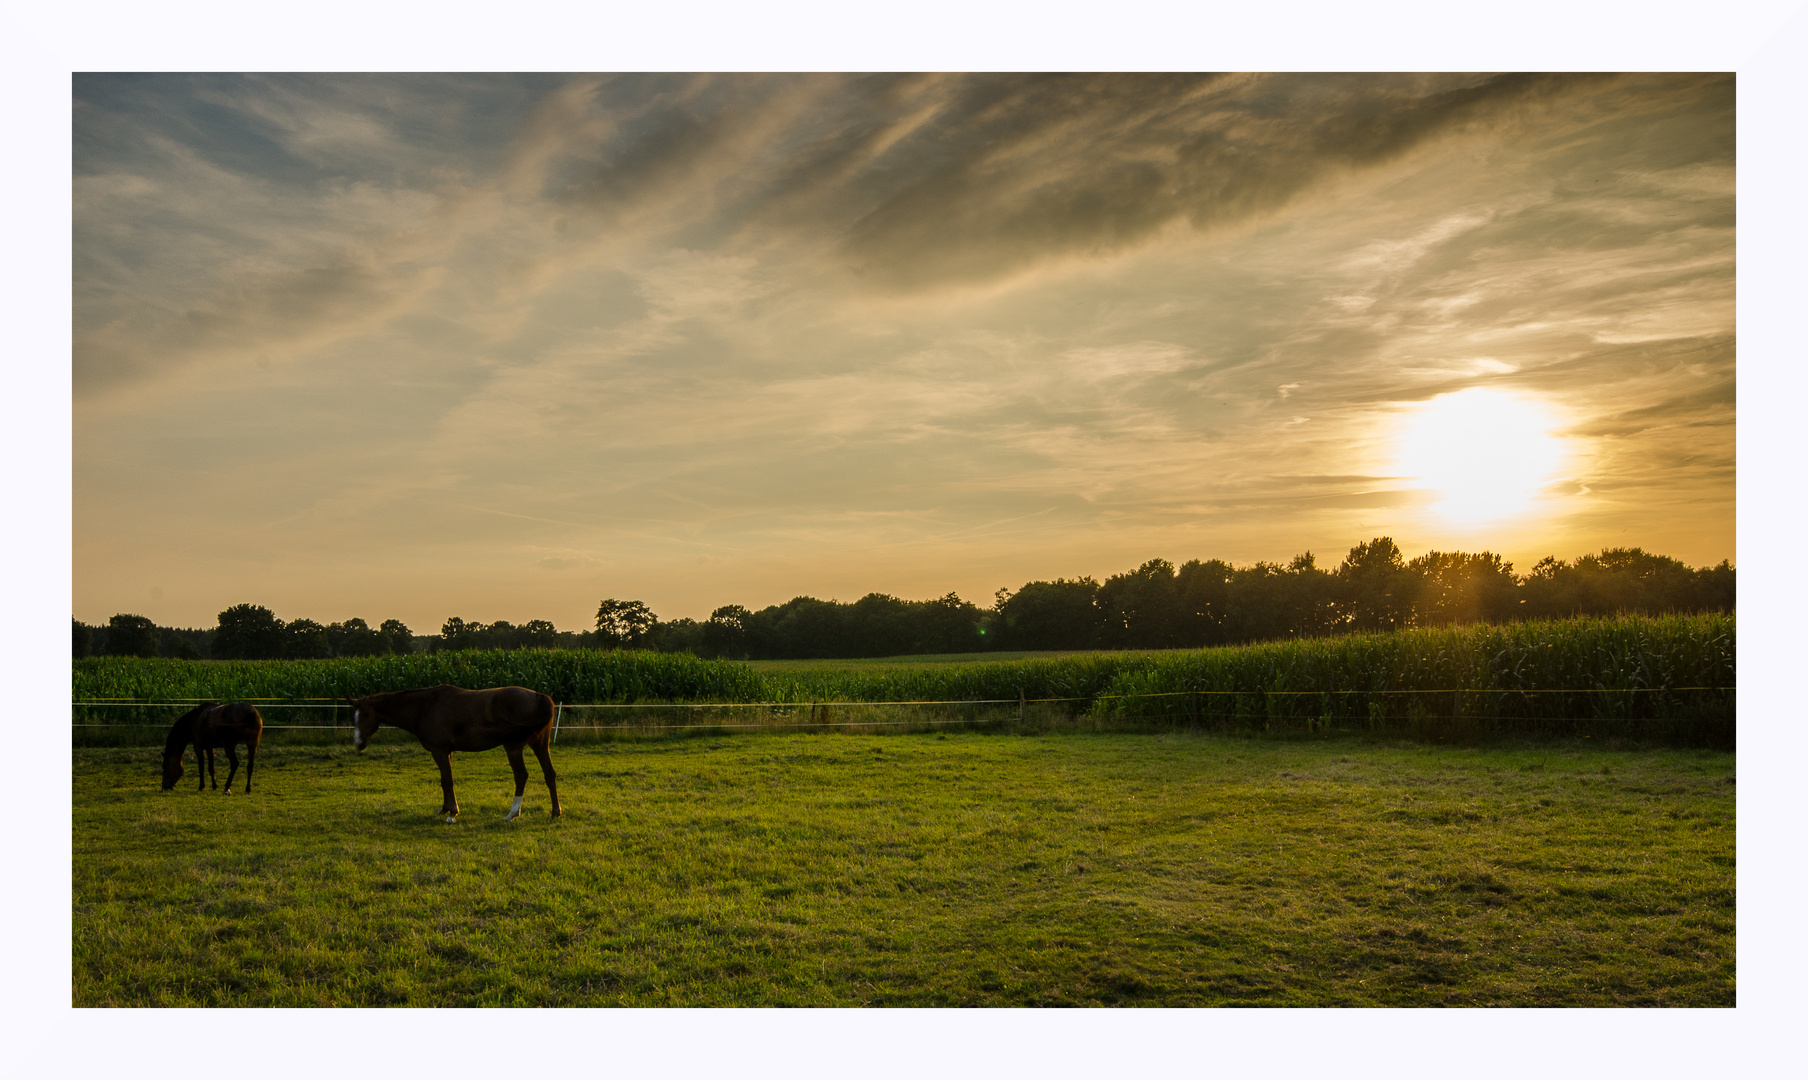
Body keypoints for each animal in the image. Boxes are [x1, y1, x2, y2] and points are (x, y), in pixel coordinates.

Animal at [343, 687, 556, 821]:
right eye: (353, 716)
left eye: (366, 714)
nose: (358, 743)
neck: (426, 706)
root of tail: (540, 697)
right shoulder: (447, 752)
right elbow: (444, 781)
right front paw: (444, 809)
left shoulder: (439, 751)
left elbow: (447, 780)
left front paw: (452, 813)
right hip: (540, 745)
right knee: (549, 774)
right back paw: (555, 812)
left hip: (513, 747)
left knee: (521, 776)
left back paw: (512, 813)